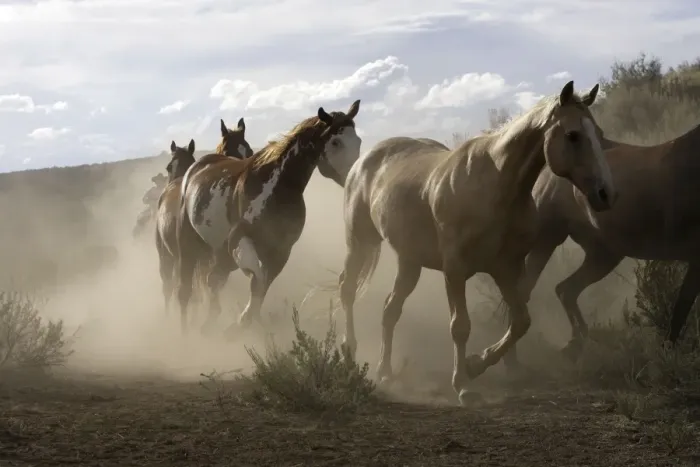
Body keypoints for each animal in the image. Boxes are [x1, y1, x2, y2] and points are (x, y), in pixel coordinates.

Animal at [176, 100, 363, 336]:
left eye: (358, 140)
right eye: (336, 141)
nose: (356, 177)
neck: (276, 187)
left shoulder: (280, 251)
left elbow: (261, 287)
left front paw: (241, 323)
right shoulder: (239, 240)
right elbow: (256, 278)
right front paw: (239, 324)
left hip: (219, 252)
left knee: (214, 279)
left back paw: (209, 322)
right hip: (188, 245)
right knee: (187, 289)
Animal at [338, 81, 617, 405]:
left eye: (599, 134)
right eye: (573, 135)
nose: (606, 193)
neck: (496, 186)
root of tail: (364, 160)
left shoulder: (508, 268)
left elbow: (520, 320)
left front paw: (476, 364)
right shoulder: (455, 270)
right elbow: (460, 326)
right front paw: (463, 385)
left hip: (409, 261)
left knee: (390, 309)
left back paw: (385, 371)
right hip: (360, 241)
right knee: (348, 289)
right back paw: (349, 351)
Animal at [502, 118, 700, 365]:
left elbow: (683, 305)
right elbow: (682, 306)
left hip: (603, 254)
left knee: (565, 289)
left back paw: (574, 344)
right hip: (548, 241)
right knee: (526, 295)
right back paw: (513, 363)